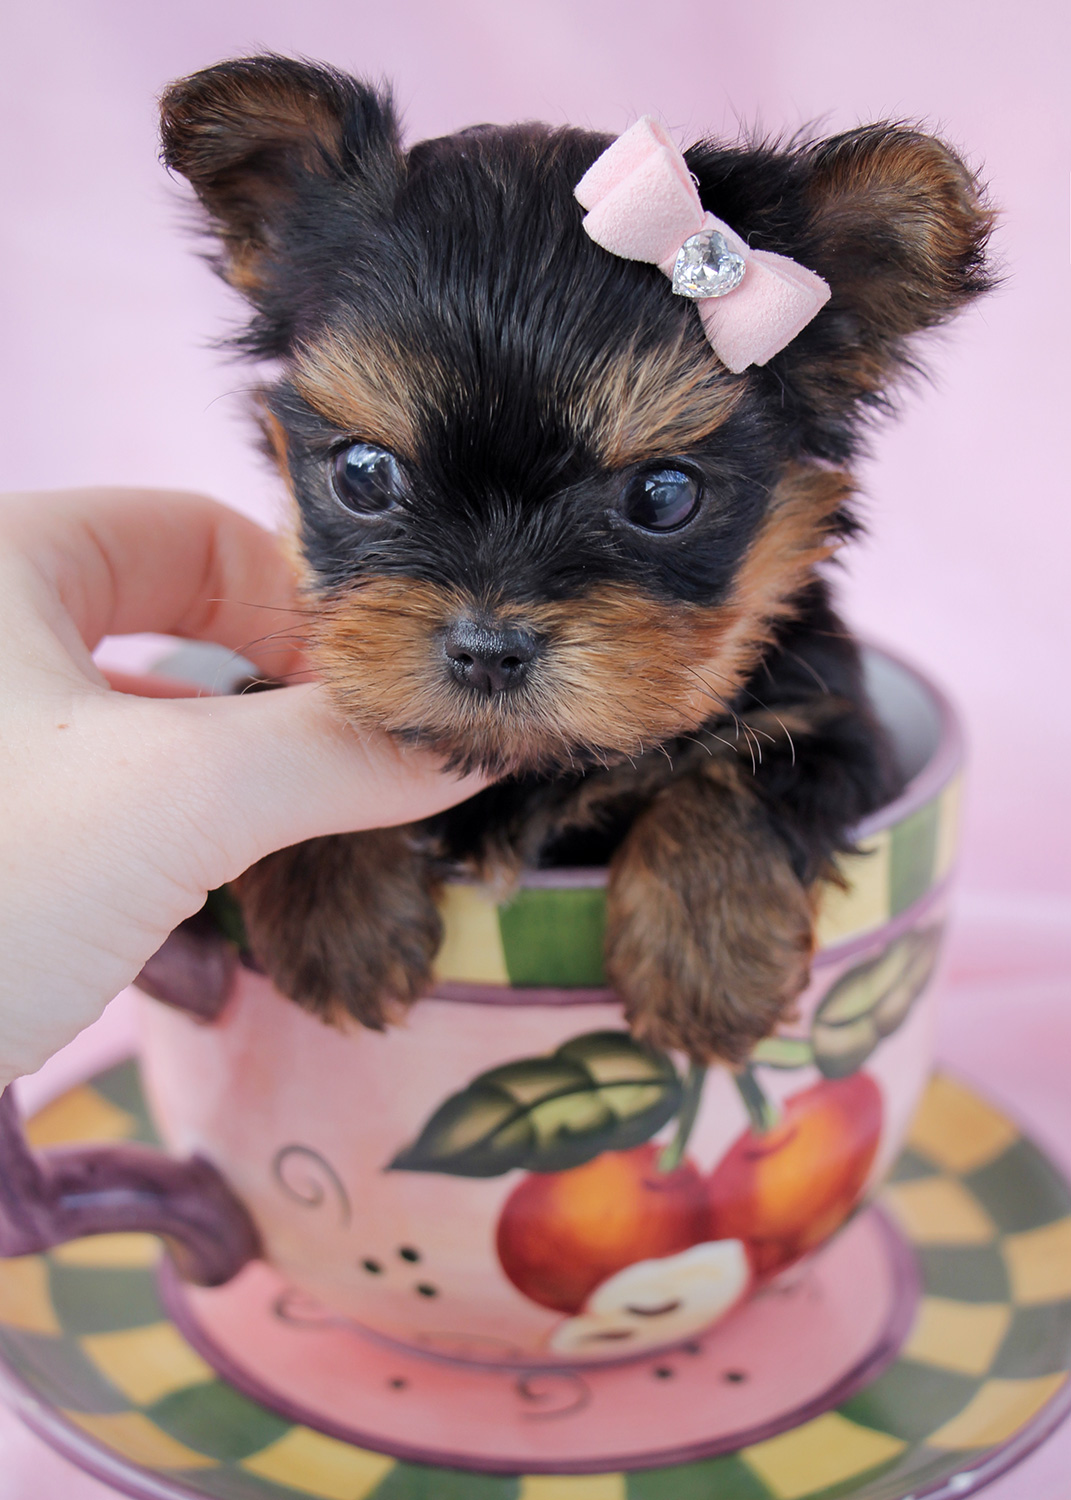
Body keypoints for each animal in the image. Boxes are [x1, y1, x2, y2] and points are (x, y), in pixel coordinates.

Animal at [156, 58, 984, 1068]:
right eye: (363, 474)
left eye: (663, 497)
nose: (487, 649)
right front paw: (333, 907)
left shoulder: (838, 724)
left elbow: (740, 769)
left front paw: (705, 951)